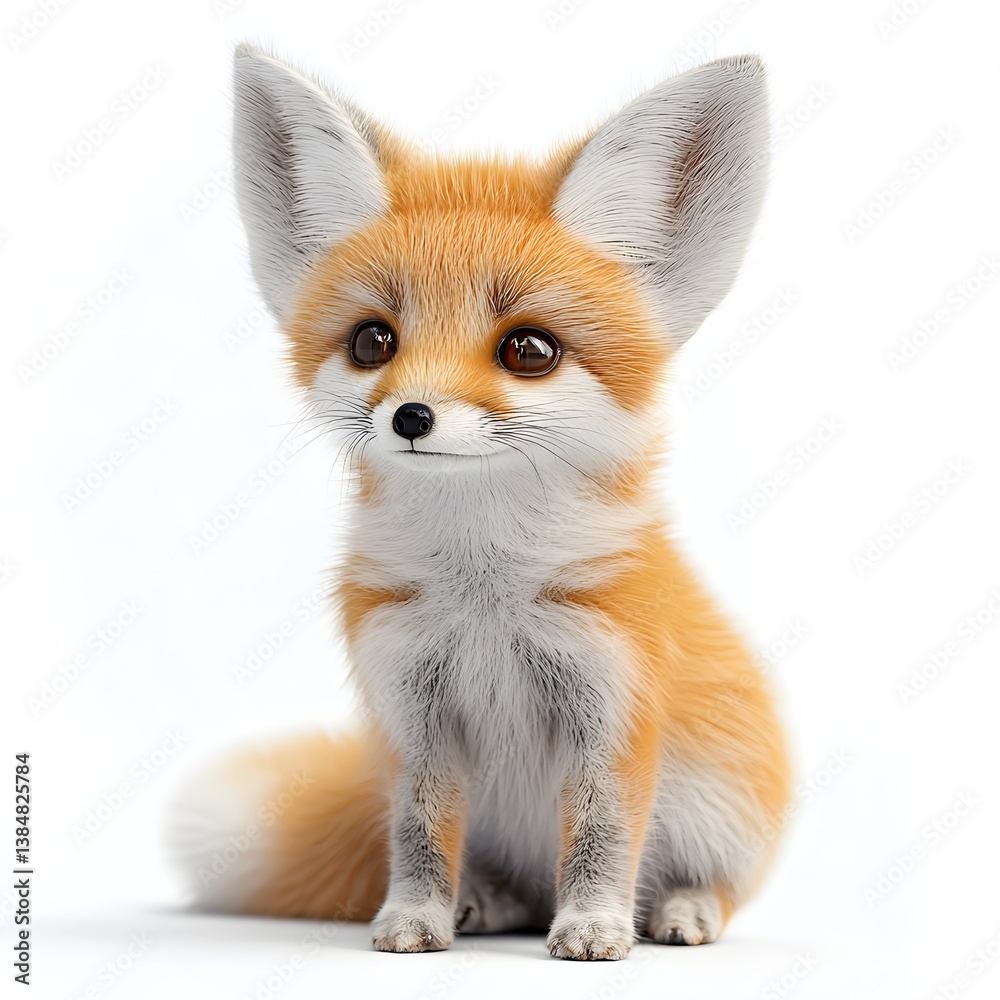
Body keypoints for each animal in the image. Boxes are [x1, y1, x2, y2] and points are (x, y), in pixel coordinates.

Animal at [169, 44, 790, 961]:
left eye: (528, 349)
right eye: (373, 341)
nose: (411, 416)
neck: (485, 596)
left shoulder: (612, 698)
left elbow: (604, 835)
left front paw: (595, 929)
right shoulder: (410, 711)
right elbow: (421, 836)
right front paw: (415, 921)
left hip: (729, 812)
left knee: (709, 883)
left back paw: (682, 911)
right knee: (514, 887)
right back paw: (488, 903)